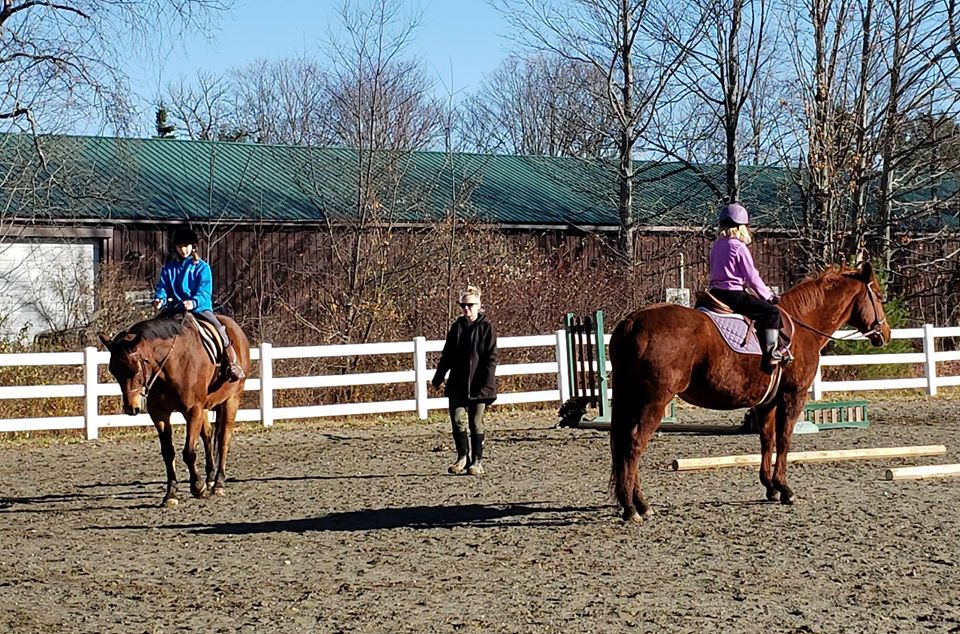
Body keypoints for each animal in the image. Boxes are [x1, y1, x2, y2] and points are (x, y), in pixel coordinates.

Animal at [98, 314, 251, 506]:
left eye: (136, 369)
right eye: (113, 370)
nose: (131, 407)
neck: (172, 363)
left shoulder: (193, 411)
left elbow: (189, 452)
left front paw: (197, 487)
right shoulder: (160, 414)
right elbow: (168, 453)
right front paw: (171, 494)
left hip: (232, 400)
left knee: (224, 439)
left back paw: (218, 484)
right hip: (205, 407)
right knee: (208, 436)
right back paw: (210, 479)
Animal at [612, 260, 888, 520]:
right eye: (877, 295)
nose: (885, 333)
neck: (803, 325)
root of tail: (632, 321)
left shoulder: (767, 401)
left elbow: (767, 439)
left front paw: (770, 487)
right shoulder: (792, 396)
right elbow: (784, 439)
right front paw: (785, 489)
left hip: (632, 399)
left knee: (625, 444)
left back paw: (636, 504)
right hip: (654, 402)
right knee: (634, 444)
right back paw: (634, 507)